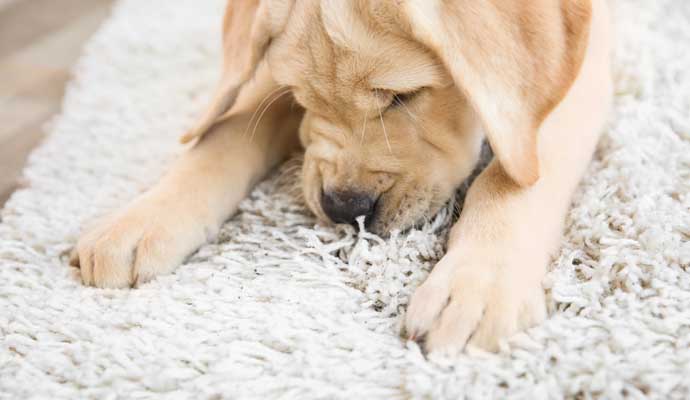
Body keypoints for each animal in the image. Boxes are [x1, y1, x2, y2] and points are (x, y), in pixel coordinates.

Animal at [70, 0, 612, 354]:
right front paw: (142, 218)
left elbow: (519, 170)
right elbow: (227, 128)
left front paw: (478, 282)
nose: (344, 209)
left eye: (402, 95)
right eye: (297, 93)